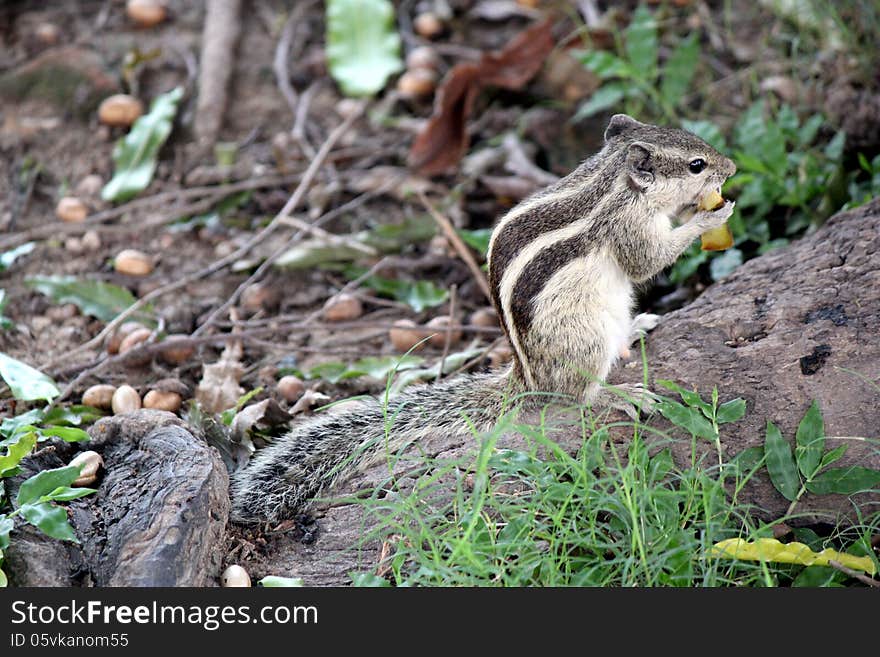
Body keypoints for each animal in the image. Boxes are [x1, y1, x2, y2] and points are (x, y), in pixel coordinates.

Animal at [232, 113, 736, 524]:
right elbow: (647, 262)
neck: (613, 179)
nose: (730, 168)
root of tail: (528, 380)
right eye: (696, 164)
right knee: (574, 395)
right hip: (584, 338)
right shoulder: (627, 228)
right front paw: (706, 219)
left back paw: (635, 329)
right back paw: (618, 394)